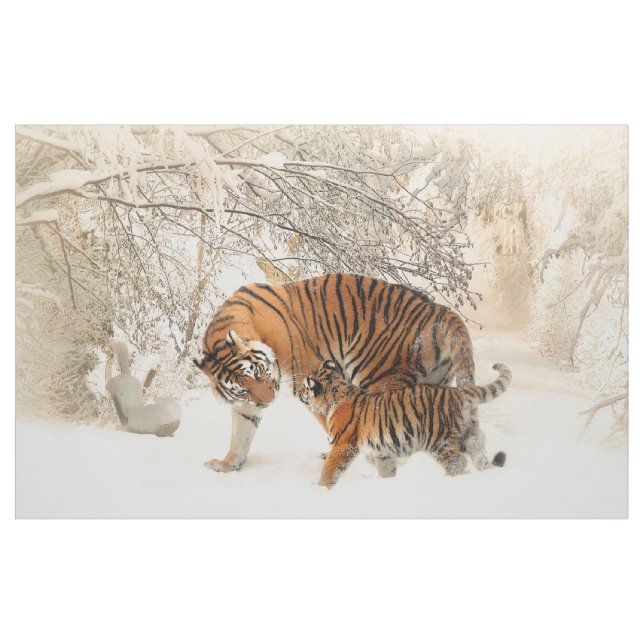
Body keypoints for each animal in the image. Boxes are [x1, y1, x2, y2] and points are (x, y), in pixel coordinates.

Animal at [193, 273, 488, 474]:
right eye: (242, 388)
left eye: (258, 373)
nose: (268, 401)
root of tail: (438, 310)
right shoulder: (247, 404)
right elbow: (241, 432)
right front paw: (228, 464)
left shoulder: (308, 378)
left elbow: (334, 420)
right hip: (433, 383)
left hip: (380, 376)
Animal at [299, 360, 511, 488]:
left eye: (304, 387)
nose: (300, 393)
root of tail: (457, 392)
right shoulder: (382, 451)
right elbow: (387, 470)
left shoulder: (342, 445)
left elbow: (330, 469)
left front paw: (320, 488)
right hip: (468, 435)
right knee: (478, 452)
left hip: (438, 441)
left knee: (458, 463)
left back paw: (449, 481)